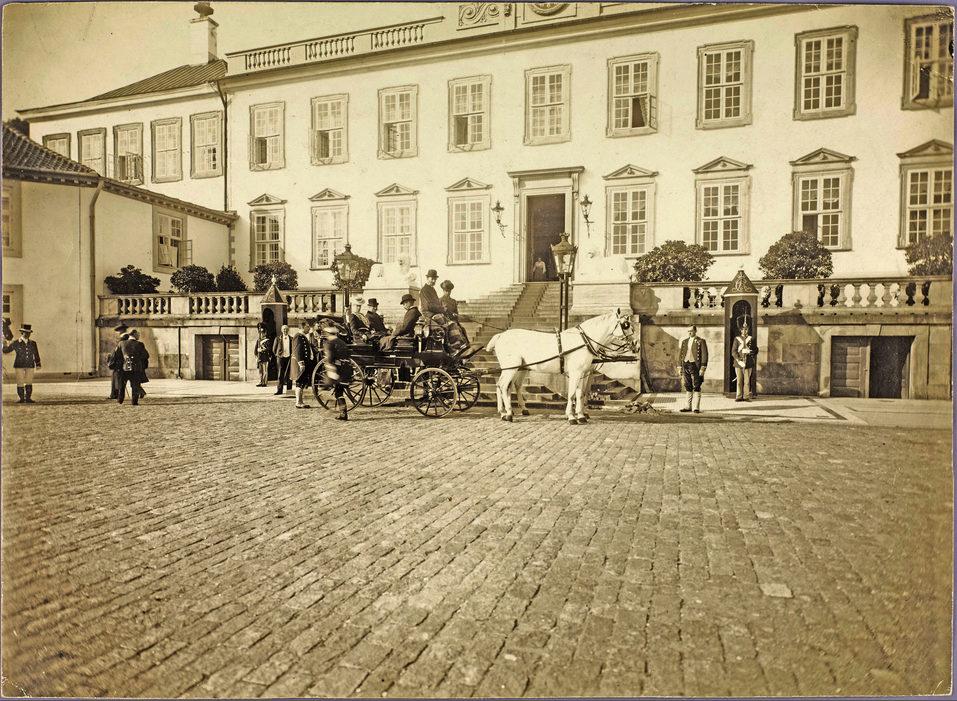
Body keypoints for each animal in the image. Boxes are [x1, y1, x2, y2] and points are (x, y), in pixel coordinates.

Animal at [484, 308, 637, 424]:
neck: (584, 341)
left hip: (519, 368)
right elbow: (572, 394)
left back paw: (507, 411)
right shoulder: (576, 373)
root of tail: (501, 335)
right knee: (503, 386)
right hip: (511, 367)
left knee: (509, 386)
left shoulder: (583, 373)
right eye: (626, 325)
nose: (636, 344)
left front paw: (581, 415)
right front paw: (571, 417)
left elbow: (580, 393)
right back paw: (508, 413)